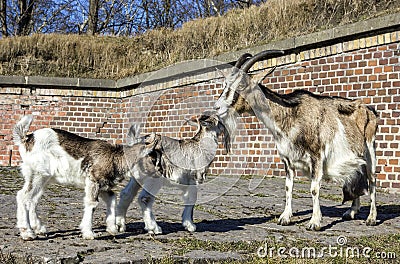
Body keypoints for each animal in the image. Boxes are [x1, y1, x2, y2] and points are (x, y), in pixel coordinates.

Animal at [13, 115, 159, 239]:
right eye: (154, 158)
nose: (159, 174)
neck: (114, 157)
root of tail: (27, 139)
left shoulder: (103, 185)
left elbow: (112, 199)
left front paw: (112, 228)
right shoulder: (93, 180)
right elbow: (92, 203)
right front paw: (89, 233)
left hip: (43, 178)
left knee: (33, 199)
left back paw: (39, 228)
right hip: (37, 174)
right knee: (23, 196)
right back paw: (27, 233)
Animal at [214, 50, 376, 231]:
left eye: (241, 86)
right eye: (224, 85)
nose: (217, 107)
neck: (291, 115)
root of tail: (368, 109)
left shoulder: (316, 156)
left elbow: (314, 188)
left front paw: (314, 222)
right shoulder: (287, 159)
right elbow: (288, 186)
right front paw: (285, 218)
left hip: (370, 150)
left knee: (372, 180)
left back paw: (371, 218)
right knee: (357, 173)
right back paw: (351, 211)